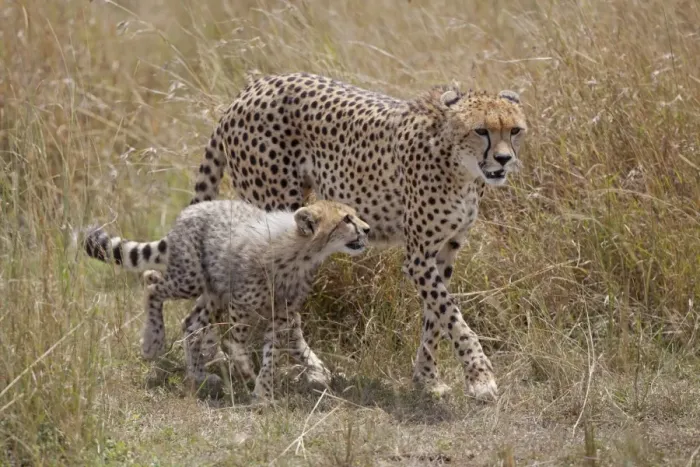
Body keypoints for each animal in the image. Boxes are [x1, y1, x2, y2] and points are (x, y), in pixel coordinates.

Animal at [83, 198, 370, 400]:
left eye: (353, 215)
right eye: (346, 219)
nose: (367, 229)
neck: (301, 252)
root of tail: (194, 208)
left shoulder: (281, 314)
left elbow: (271, 353)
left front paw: (263, 392)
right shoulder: (241, 305)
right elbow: (237, 343)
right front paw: (245, 371)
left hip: (214, 292)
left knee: (190, 322)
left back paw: (198, 374)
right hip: (191, 280)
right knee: (152, 281)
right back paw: (153, 342)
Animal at [187, 72, 528, 401]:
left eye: (514, 130)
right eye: (481, 131)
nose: (504, 159)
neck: (460, 166)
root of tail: (253, 87)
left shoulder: (444, 251)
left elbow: (435, 318)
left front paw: (427, 379)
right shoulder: (418, 258)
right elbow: (453, 317)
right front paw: (480, 378)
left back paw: (207, 363)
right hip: (277, 215)